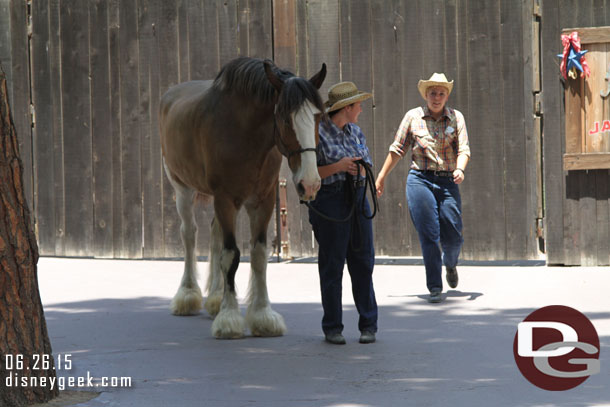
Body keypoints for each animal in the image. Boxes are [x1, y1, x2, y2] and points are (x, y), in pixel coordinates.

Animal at [159, 56, 326, 338]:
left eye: (318, 117)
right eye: (284, 118)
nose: (310, 183)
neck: (244, 134)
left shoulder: (263, 201)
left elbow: (258, 255)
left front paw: (262, 315)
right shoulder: (226, 198)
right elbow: (231, 256)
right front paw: (229, 318)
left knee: (214, 235)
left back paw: (215, 297)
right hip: (182, 188)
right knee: (190, 234)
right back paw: (188, 295)